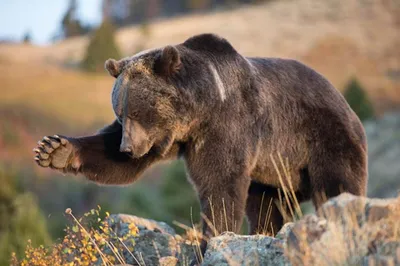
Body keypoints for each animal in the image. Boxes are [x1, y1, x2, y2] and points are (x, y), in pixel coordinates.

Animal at [32, 32, 368, 256]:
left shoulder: (227, 125)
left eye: (138, 111)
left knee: (338, 185)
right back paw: (263, 232)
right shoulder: (172, 139)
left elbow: (220, 183)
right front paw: (53, 149)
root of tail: (346, 103)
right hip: (274, 170)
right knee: (267, 204)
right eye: (120, 112)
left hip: (322, 139)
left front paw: (212, 239)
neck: (198, 112)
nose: (127, 149)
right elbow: (112, 158)